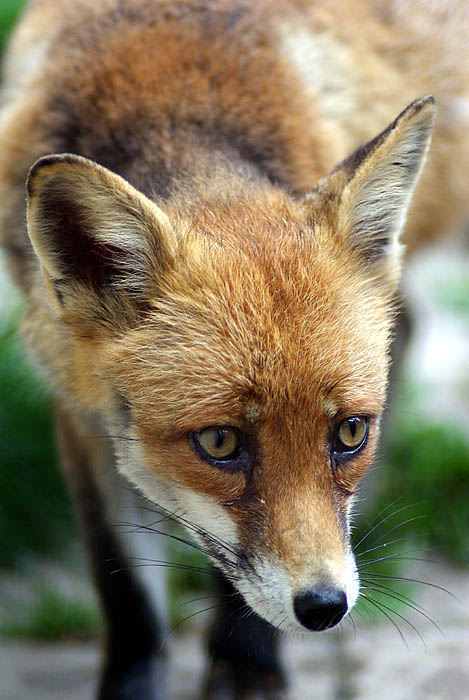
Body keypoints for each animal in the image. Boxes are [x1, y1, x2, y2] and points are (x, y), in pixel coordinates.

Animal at [0, 0, 468, 698]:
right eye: (220, 443)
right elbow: (127, 595)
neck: (176, 102)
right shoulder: (75, 397)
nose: (326, 608)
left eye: (351, 432)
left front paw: (246, 665)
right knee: (409, 322)